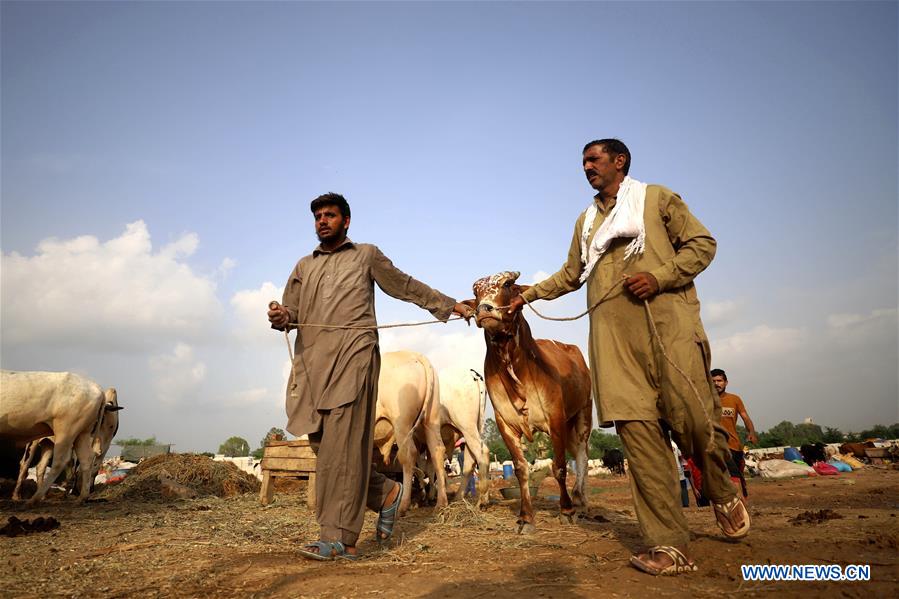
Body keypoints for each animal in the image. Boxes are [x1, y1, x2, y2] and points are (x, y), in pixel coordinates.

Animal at [0, 372, 123, 504]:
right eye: (100, 419)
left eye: (108, 424)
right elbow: (75, 470)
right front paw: (73, 491)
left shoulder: (105, 447)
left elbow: (94, 469)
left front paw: (87, 490)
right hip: (35, 441)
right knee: (25, 465)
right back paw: (19, 496)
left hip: (51, 442)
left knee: (42, 466)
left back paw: (42, 496)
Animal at [372, 352, 446, 516]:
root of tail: (414, 355)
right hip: (431, 419)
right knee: (437, 451)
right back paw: (441, 502)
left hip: (401, 423)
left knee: (408, 455)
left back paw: (403, 506)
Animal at [464, 272, 596, 536]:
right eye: (476, 293)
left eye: (507, 284)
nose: (484, 309)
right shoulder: (505, 424)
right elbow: (521, 469)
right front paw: (526, 518)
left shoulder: (555, 420)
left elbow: (559, 467)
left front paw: (566, 511)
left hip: (583, 415)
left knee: (581, 456)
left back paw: (580, 501)